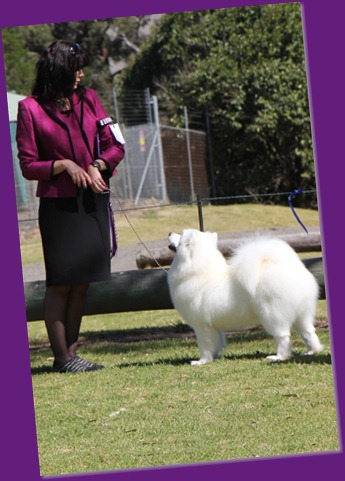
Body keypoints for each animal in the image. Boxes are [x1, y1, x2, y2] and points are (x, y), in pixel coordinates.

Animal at [167, 229, 322, 364]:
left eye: (181, 234)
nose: (169, 233)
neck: (197, 271)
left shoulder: (202, 325)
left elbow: (205, 345)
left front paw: (202, 361)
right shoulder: (214, 326)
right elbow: (217, 342)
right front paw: (216, 357)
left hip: (272, 314)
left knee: (283, 336)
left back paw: (279, 357)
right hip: (302, 314)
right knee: (308, 331)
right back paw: (312, 351)